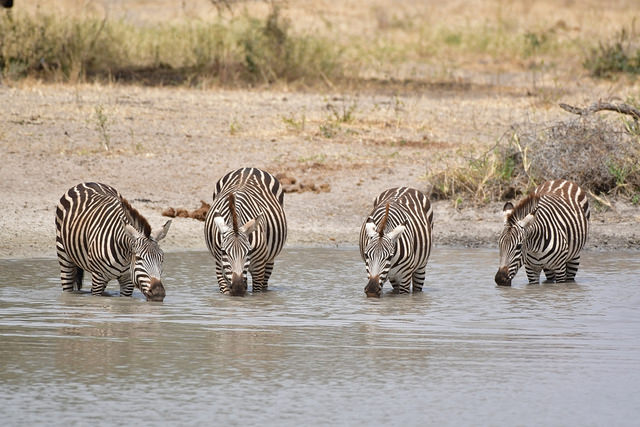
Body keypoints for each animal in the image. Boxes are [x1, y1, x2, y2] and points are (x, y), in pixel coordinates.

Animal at [204, 168, 286, 298]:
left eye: (249, 251)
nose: (238, 289)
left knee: (265, 283)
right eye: (224, 252)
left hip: (269, 259)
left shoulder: (258, 267)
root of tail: (248, 168)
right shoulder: (219, 264)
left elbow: (257, 292)